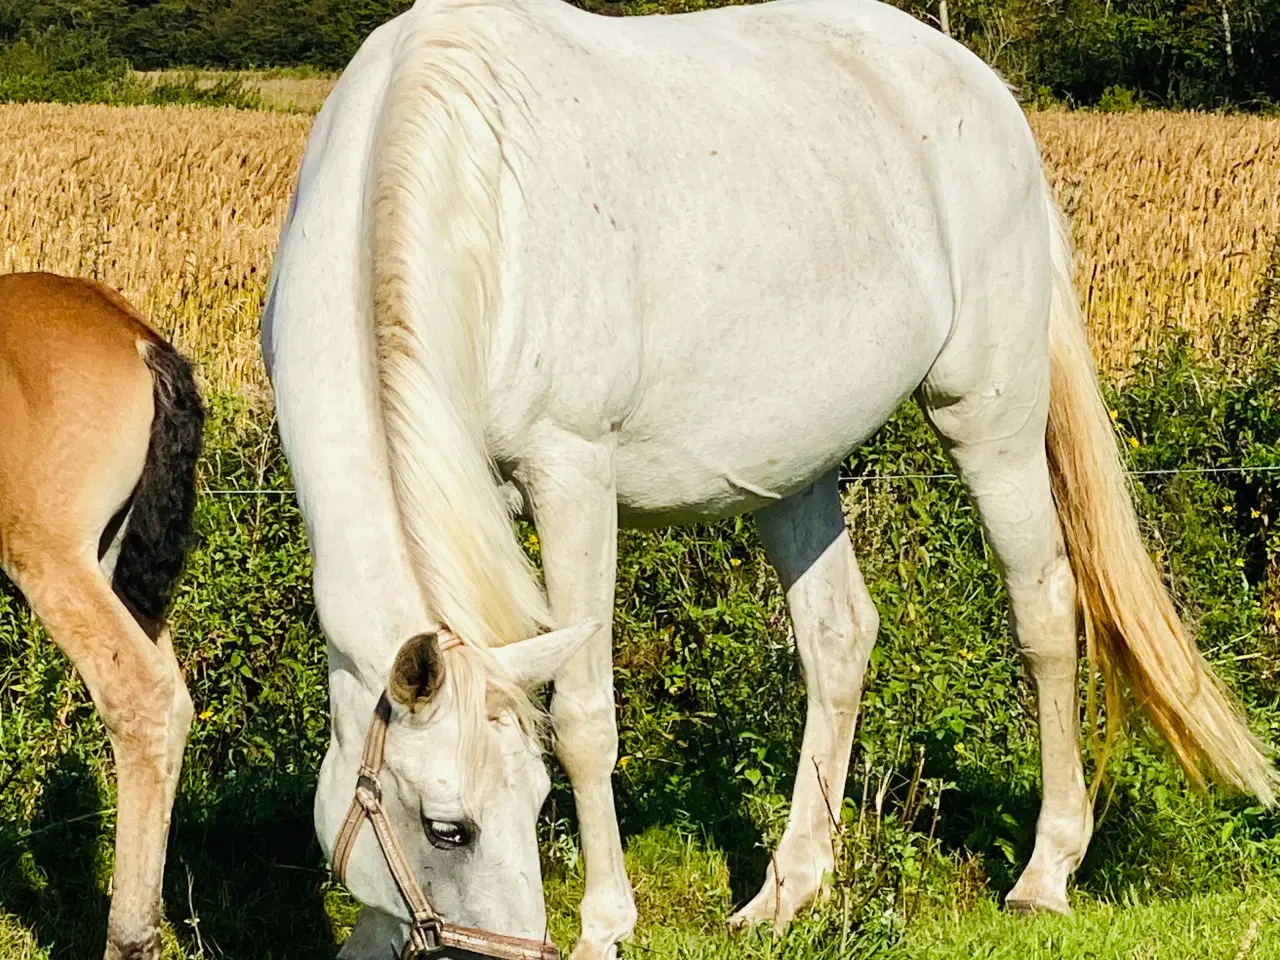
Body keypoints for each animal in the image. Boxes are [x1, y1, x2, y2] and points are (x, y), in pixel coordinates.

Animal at [0, 272, 202, 960]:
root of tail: (135, 335)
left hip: (52, 560)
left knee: (137, 696)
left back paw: (129, 933)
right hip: (114, 567)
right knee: (173, 704)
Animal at [262, 0, 1280, 957]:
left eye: (527, 802)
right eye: (448, 828)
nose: (518, 950)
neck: (459, 189)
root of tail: (985, 90)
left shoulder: (571, 476)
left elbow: (587, 717)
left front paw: (604, 924)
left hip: (987, 417)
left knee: (1044, 611)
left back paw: (1046, 870)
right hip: (798, 466)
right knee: (838, 637)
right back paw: (790, 888)